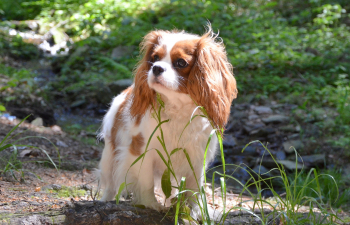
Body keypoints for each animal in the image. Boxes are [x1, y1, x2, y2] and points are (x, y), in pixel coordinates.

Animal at [97, 25, 237, 218]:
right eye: (155, 58)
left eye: (181, 63)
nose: (156, 68)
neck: (177, 107)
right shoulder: (142, 150)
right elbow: (146, 181)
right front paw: (151, 204)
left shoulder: (197, 154)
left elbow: (194, 187)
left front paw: (196, 210)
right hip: (111, 155)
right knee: (110, 184)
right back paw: (105, 201)